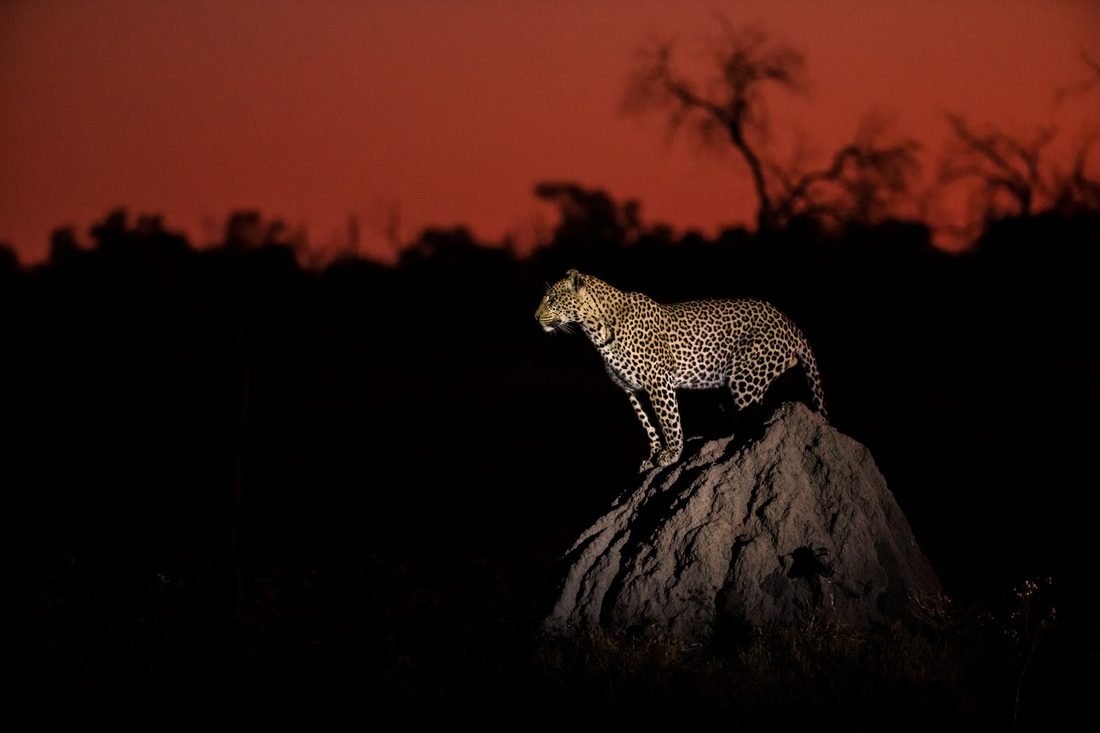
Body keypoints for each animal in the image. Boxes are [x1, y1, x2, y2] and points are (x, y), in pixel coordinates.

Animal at [535, 269, 827, 471]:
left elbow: (668, 420)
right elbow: (647, 424)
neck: (596, 328)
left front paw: (672, 453)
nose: (535, 317)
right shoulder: (631, 389)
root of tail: (790, 323)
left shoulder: (658, 381)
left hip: (745, 378)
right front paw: (653, 454)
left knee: (753, 417)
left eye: (552, 299)